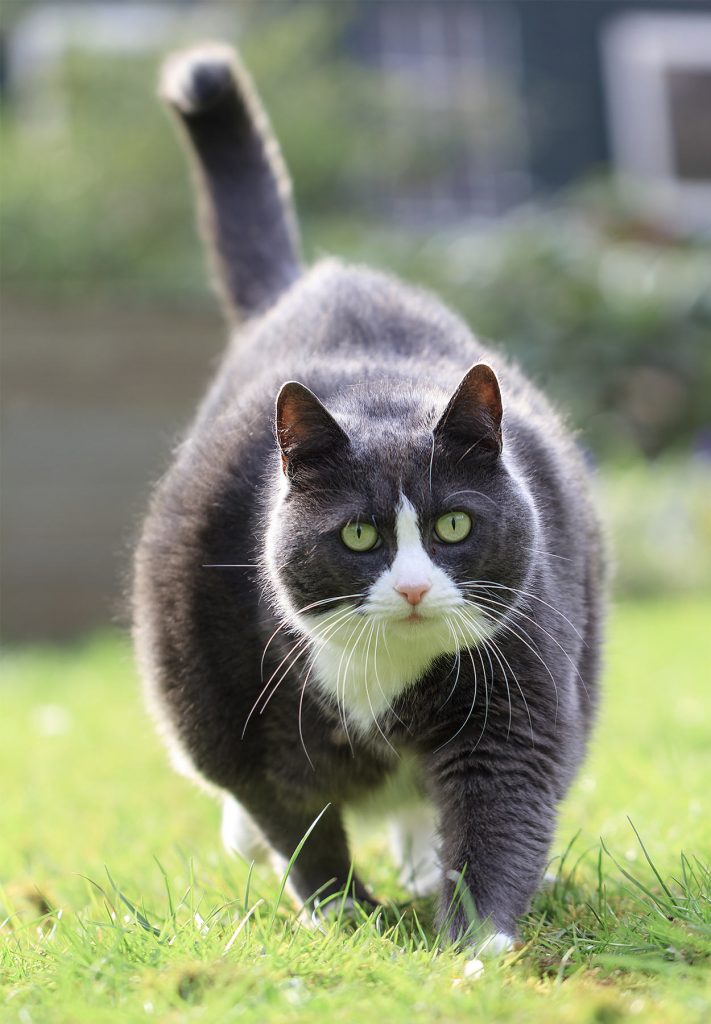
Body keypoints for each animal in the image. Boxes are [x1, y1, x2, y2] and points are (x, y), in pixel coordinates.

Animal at [133, 39, 606, 950]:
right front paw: (341, 917)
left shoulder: (516, 677)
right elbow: (293, 817)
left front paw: (474, 945)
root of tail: (318, 278)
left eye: (454, 524)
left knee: (424, 803)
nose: (415, 588)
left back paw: (421, 865)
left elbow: (503, 794)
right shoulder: (230, 708)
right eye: (357, 536)